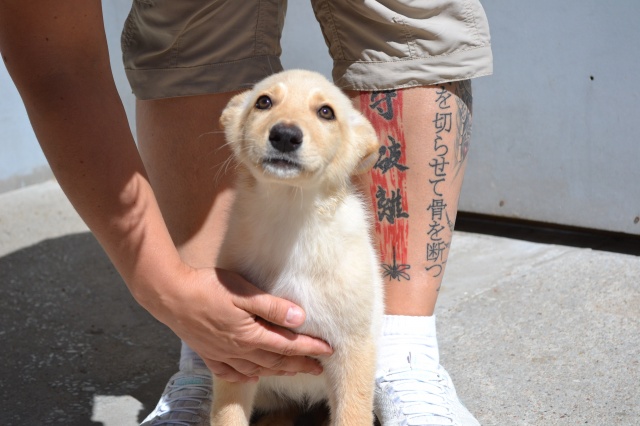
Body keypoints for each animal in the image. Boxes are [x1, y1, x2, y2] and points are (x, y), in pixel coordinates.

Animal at [213, 69, 384, 426]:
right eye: (264, 102)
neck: (292, 218)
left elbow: (352, 415)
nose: (285, 136)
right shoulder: (237, 352)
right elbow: (227, 416)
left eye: (326, 112)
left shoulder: (354, 349)